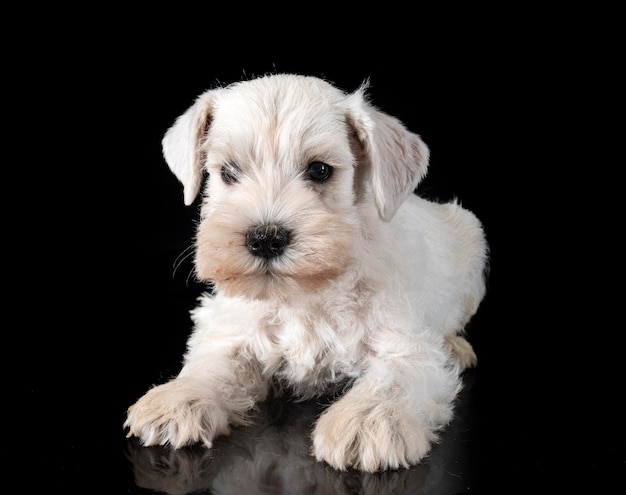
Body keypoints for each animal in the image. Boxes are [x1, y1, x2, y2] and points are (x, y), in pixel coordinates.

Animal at [124, 72, 488, 472]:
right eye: (228, 172)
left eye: (320, 170)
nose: (265, 238)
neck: (303, 293)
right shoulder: (234, 326)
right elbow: (213, 363)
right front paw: (179, 397)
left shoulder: (405, 344)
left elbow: (394, 378)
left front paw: (367, 419)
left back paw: (455, 346)